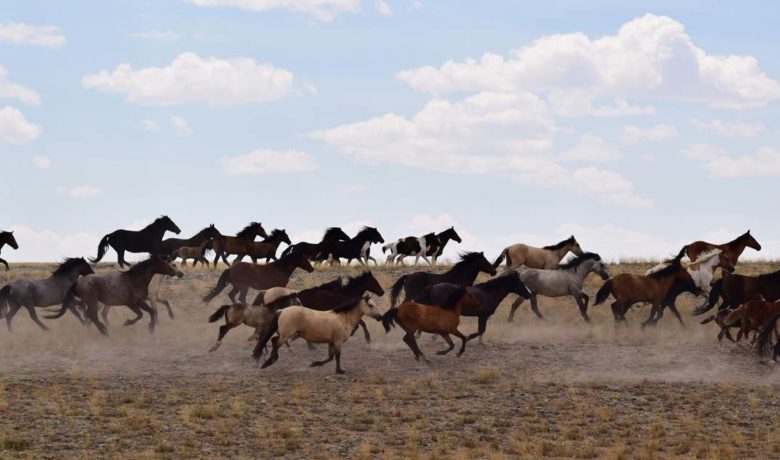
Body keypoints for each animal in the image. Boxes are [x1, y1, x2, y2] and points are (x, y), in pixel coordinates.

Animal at [252, 271, 386, 343]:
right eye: (374, 281)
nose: (382, 292)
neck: (347, 293)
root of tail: (266, 291)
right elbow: (362, 323)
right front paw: (367, 338)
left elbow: (359, 324)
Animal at [255, 295, 384, 374]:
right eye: (371, 305)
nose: (380, 317)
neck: (343, 319)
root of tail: (282, 310)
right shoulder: (338, 341)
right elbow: (337, 356)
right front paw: (340, 370)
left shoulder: (331, 342)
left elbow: (330, 357)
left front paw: (315, 364)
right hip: (286, 334)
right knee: (276, 344)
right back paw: (267, 363)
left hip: (284, 334)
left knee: (274, 341)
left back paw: (271, 360)